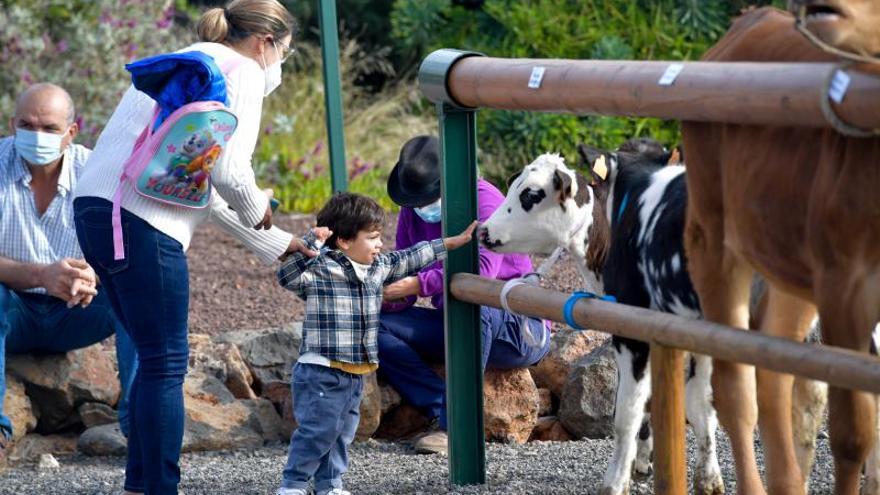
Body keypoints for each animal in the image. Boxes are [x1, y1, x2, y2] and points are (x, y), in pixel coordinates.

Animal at [680, 3, 880, 495]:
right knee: (736, 388)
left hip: (787, 268)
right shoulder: (844, 284)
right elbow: (853, 433)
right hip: (712, 238)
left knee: (774, 373)